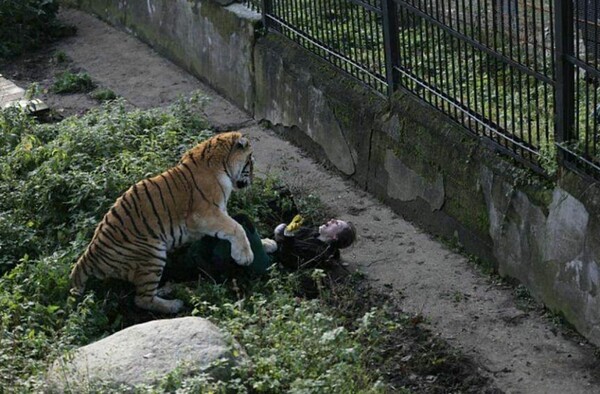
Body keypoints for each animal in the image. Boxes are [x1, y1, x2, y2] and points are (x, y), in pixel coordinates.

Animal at [69, 131, 255, 312]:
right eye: (250, 160)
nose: (253, 179)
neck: (222, 163)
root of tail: (89, 254)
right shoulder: (203, 214)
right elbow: (236, 227)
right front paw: (245, 256)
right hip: (152, 254)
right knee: (142, 299)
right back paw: (174, 305)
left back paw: (167, 289)